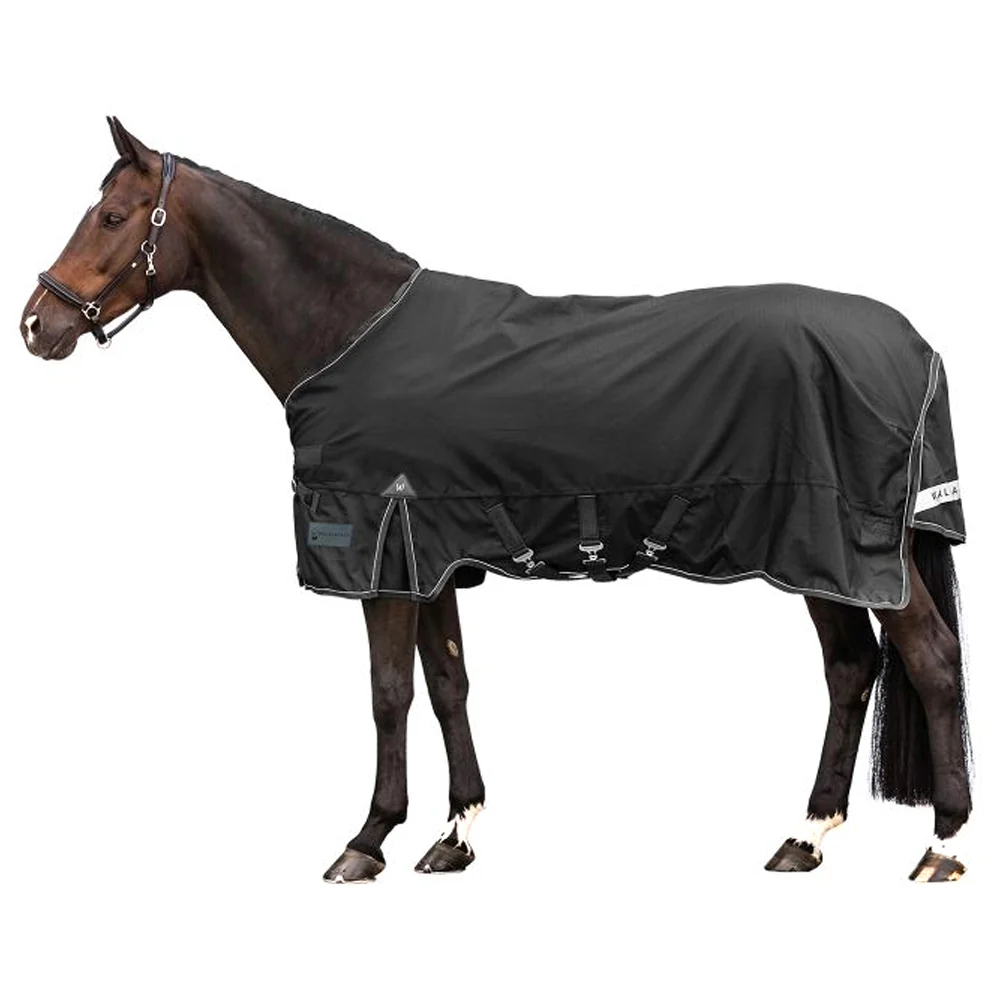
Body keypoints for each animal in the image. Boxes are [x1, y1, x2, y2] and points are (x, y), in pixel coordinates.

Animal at [19, 118, 972, 883]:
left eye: (111, 217)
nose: (36, 324)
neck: (350, 333)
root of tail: (914, 346)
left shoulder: (381, 554)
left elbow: (388, 695)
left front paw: (367, 840)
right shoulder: (434, 554)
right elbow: (448, 684)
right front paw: (455, 835)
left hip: (847, 546)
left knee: (928, 658)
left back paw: (943, 845)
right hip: (819, 557)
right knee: (850, 670)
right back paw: (806, 836)